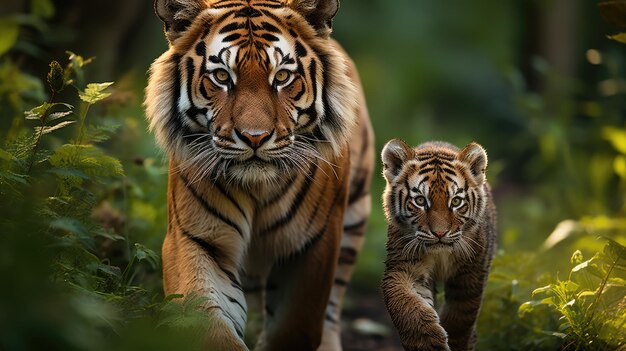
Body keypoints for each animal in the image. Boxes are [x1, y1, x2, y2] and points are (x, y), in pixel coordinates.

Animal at [144, 1, 372, 350]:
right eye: (221, 76)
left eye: (282, 77)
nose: (255, 137)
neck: (257, 188)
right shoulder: (195, 239)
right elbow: (209, 322)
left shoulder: (314, 245)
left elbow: (296, 326)